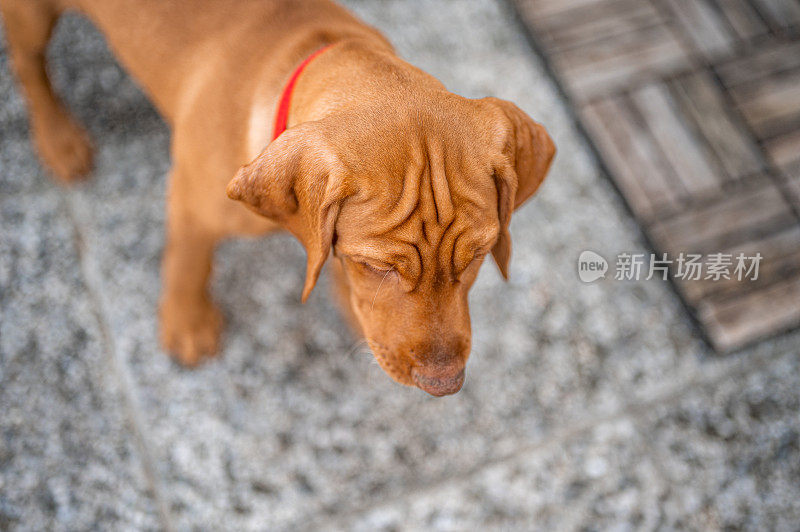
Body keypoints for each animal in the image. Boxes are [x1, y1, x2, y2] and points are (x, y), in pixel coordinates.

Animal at [0, 0, 552, 394]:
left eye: (480, 256)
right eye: (378, 267)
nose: (445, 385)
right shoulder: (192, 201)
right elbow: (188, 262)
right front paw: (186, 322)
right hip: (32, 15)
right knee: (30, 65)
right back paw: (58, 138)